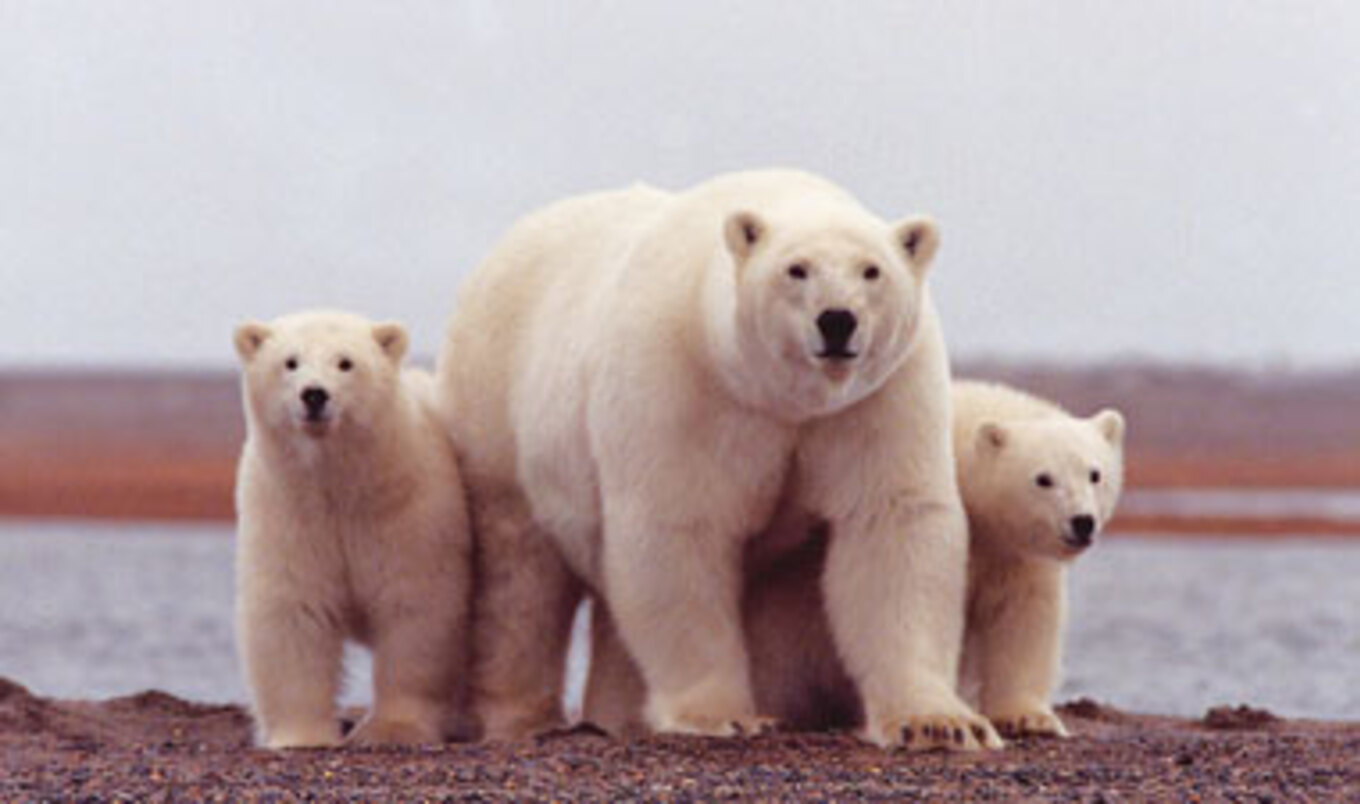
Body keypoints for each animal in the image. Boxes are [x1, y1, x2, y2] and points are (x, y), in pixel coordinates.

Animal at [233, 310, 472, 749]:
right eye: (290, 362)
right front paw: (302, 736)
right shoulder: (289, 513)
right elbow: (294, 611)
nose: (314, 395)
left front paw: (392, 730)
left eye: (345, 362)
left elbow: (415, 609)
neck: (341, 486)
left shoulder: (407, 512)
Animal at [436, 169, 999, 750]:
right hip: (498, 410)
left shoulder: (877, 397)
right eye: (796, 269)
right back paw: (521, 718)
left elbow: (891, 521)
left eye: (872, 270)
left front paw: (939, 723)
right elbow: (679, 529)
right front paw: (723, 715)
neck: (780, 397)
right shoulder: (684, 384)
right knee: (520, 577)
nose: (837, 321)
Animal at [585, 379, 1125, 740]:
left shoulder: (1013, 555)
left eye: (1094, 473)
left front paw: (1028, 717)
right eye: (1042, 478)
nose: (1081, 522)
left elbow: (1023, 617)